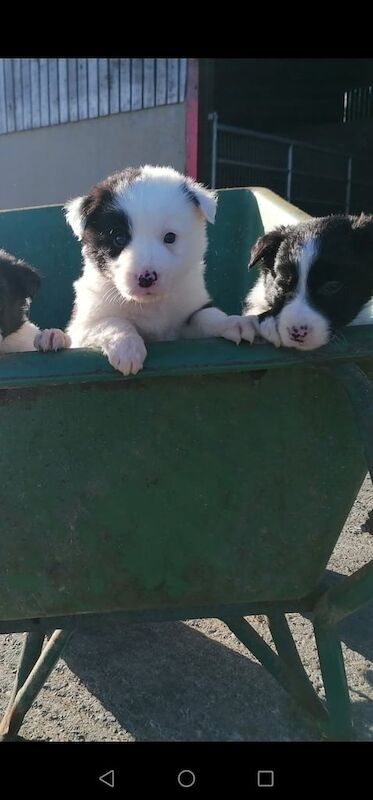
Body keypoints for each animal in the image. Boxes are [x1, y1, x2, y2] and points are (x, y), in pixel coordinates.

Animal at [64, 165, 253, 376]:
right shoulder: (83, 326)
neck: (151, 304)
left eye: (170, 237)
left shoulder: (189, 313)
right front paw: (127, 347)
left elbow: (208, 315)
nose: (146, 278)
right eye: (119, 238)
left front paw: (234, 322)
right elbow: (112, 322)